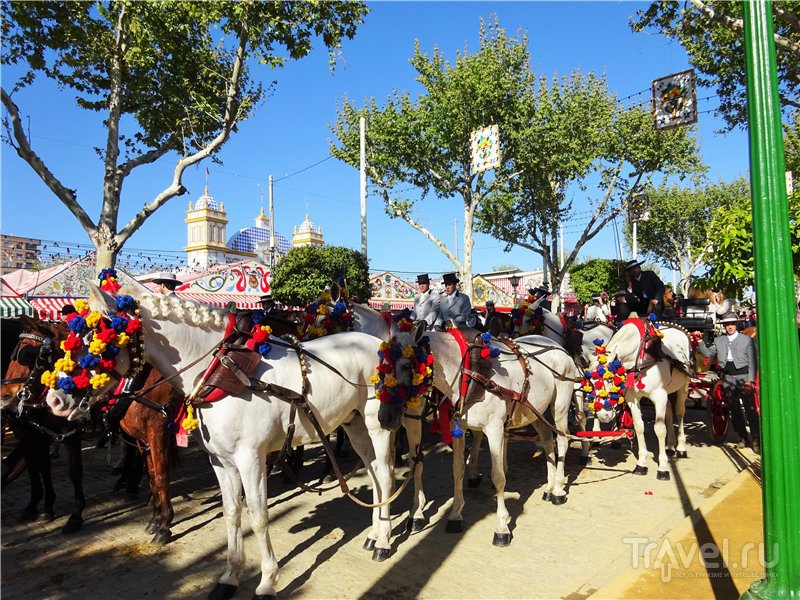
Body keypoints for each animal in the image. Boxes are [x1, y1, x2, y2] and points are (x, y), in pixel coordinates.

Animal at [45, 288, 400, 600]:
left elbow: (258, 517)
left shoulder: (251, 459)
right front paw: (229, 577)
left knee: (384, 474)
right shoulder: (221, 461)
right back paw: (373, 535)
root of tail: (378, 342)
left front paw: (267, 582)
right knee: (372, 474)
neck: (223, 373)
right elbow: (231, 514)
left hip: (376, 424)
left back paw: (383, 542)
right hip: (353, 424)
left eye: (97, 342)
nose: (54, 399)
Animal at [588, 322, 692, 480]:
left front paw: (662, 467)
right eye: (592, 383)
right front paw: (641, 464)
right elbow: (639, 427)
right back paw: (670, 446)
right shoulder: (633, 398)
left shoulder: (659, 395)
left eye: (610, 379)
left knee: (680, 413)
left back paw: (680, 447)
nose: (603, 416)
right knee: (669, 410)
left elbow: (659, 429)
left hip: (683, 387)